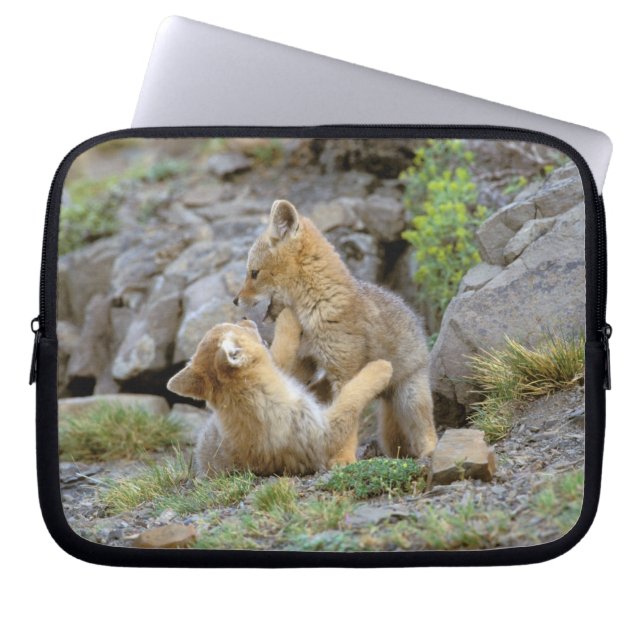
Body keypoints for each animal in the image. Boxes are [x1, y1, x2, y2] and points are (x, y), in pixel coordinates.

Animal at [167, 308, 393, 476]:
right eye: (233, 327)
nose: (244, 317)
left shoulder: (297, 390)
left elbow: (286, 359)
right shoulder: (322, 433)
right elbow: (350, 397)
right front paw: (381, 368)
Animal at [234, 199, 439, 459]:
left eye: (254, 273)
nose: (234, 301)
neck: (317, 306)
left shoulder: (344, 373)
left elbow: (348, 416)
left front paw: (343, 459)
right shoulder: (305, 362)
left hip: (411, 399)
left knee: (427, 429)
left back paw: (429, 452)